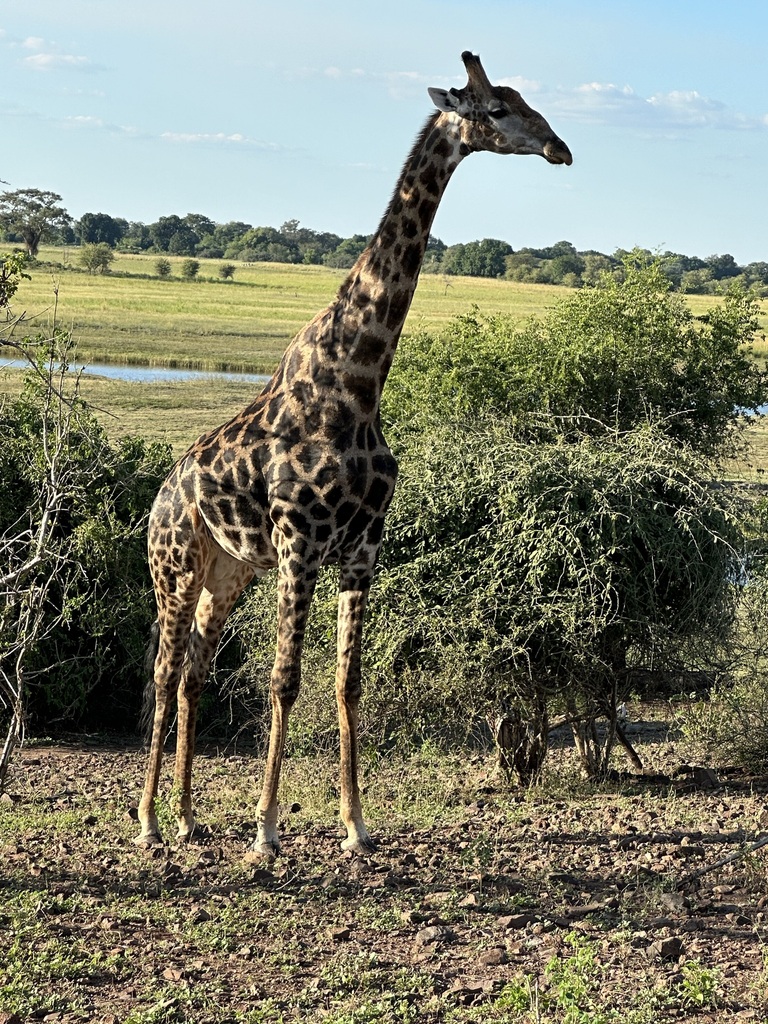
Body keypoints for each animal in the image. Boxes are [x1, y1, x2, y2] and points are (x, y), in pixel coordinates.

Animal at [136, 51, 571, 857]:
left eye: (525, 99)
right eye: (495, 109)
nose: (560, 148)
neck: (360, 381)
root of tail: (160, 494)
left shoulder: (362, 547)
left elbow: (347, 682)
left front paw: (356, 827)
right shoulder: (300, 543)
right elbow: (285, 680)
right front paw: (267, 832)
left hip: (228, 571)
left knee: (194, 671)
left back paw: (185, 817)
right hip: (174, 565)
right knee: (163, 668)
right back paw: (149, 820)